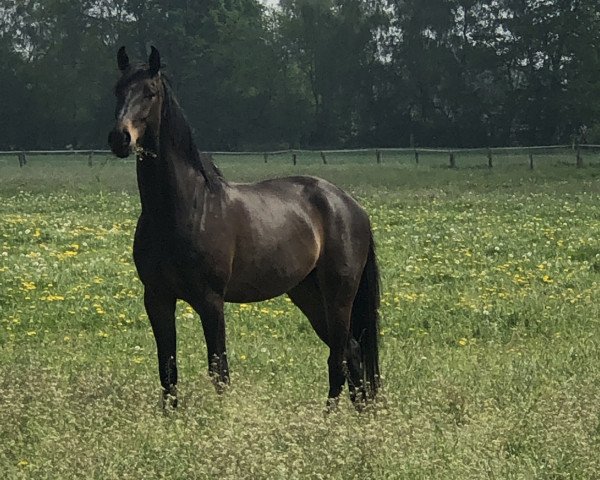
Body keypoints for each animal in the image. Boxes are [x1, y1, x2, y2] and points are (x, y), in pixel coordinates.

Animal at [108, 47, 380, 408]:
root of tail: (351, 206)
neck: (183, 208)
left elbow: (219, 371)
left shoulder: (210, 301)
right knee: (351, 352)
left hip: (339, 295)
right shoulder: (157, 299)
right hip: (308, 294)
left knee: (339, 358)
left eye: (150, 92)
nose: (119, 138)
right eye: (118, 90)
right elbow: (168, 371)